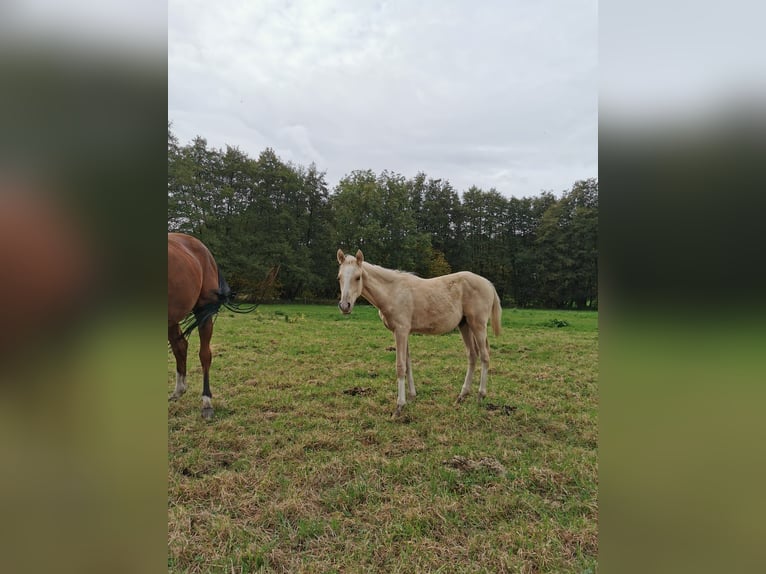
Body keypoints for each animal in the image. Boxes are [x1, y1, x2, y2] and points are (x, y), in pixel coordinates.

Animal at [338, 249, 504, 418]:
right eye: (339, 277)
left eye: (358, 277)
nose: (345, 306)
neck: (392, 292)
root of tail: (488, 284)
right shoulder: (403, 332)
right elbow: (408, 363)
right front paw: (411, 397)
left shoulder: (401, 331)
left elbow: (400, 366)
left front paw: (399, 407)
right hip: (464, 325)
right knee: (472, 355)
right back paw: (461, 397)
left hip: (478, 325)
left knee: (484, 356)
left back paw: (480, 396)